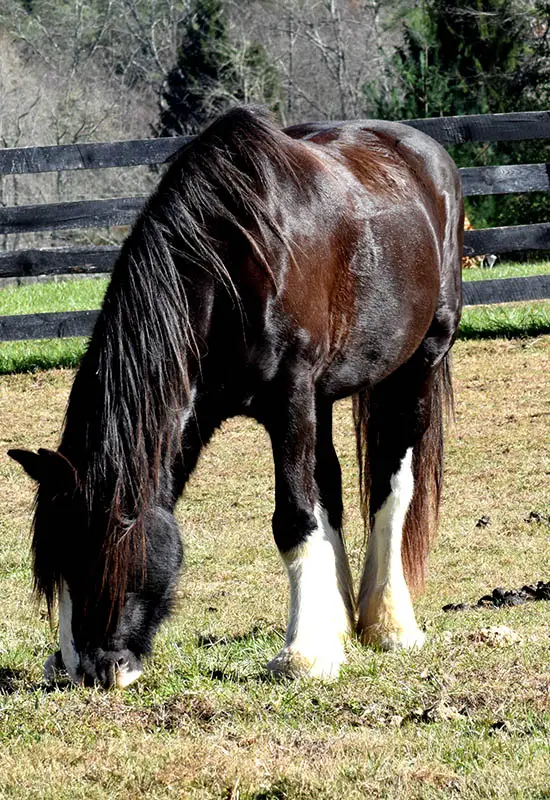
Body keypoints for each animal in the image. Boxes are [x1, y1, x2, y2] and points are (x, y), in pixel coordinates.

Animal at [9, 108, 466, 688]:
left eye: (100, 553)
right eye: (56, 564)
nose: (89, 670)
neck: (232, 263)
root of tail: (425, 153)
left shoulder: (290, 397)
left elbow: (293, 519)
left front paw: (303, 654)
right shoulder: (297, 400)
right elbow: (316, 504)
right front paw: (323, 638)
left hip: (418, 365)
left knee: (392, 485)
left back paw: (389, 626)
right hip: (325, 398)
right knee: (332, 489)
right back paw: (341, 622)